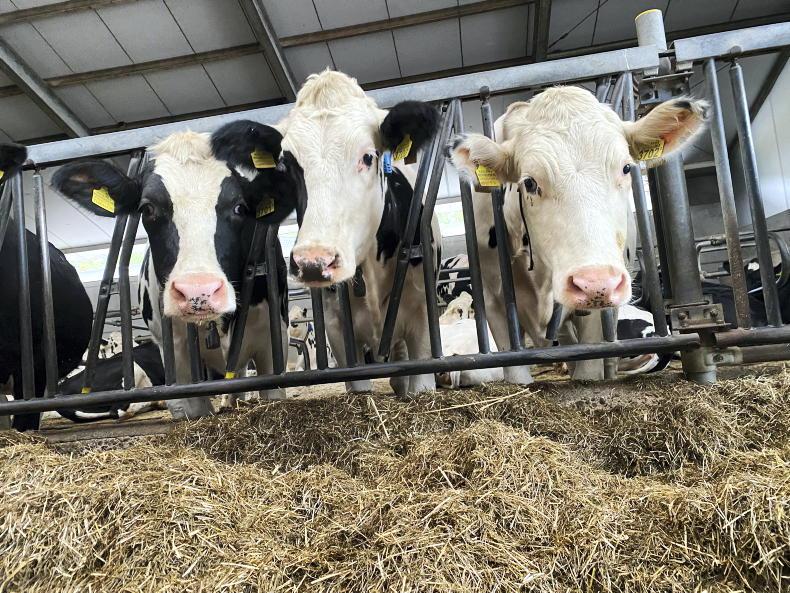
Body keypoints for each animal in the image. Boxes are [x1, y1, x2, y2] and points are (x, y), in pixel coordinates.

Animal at [211, 70, 442, 396]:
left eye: (368, 157)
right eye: (288, 165)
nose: (313, 261)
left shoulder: (422, 315)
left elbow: (420, 384)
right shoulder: (338, 331)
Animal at [449, 87, 709, 383]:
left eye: (626, 168)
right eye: (529, 182)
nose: (596, 283)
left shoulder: (593, 317)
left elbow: (589, 371)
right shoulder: (496, 304)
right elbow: (517, 374)